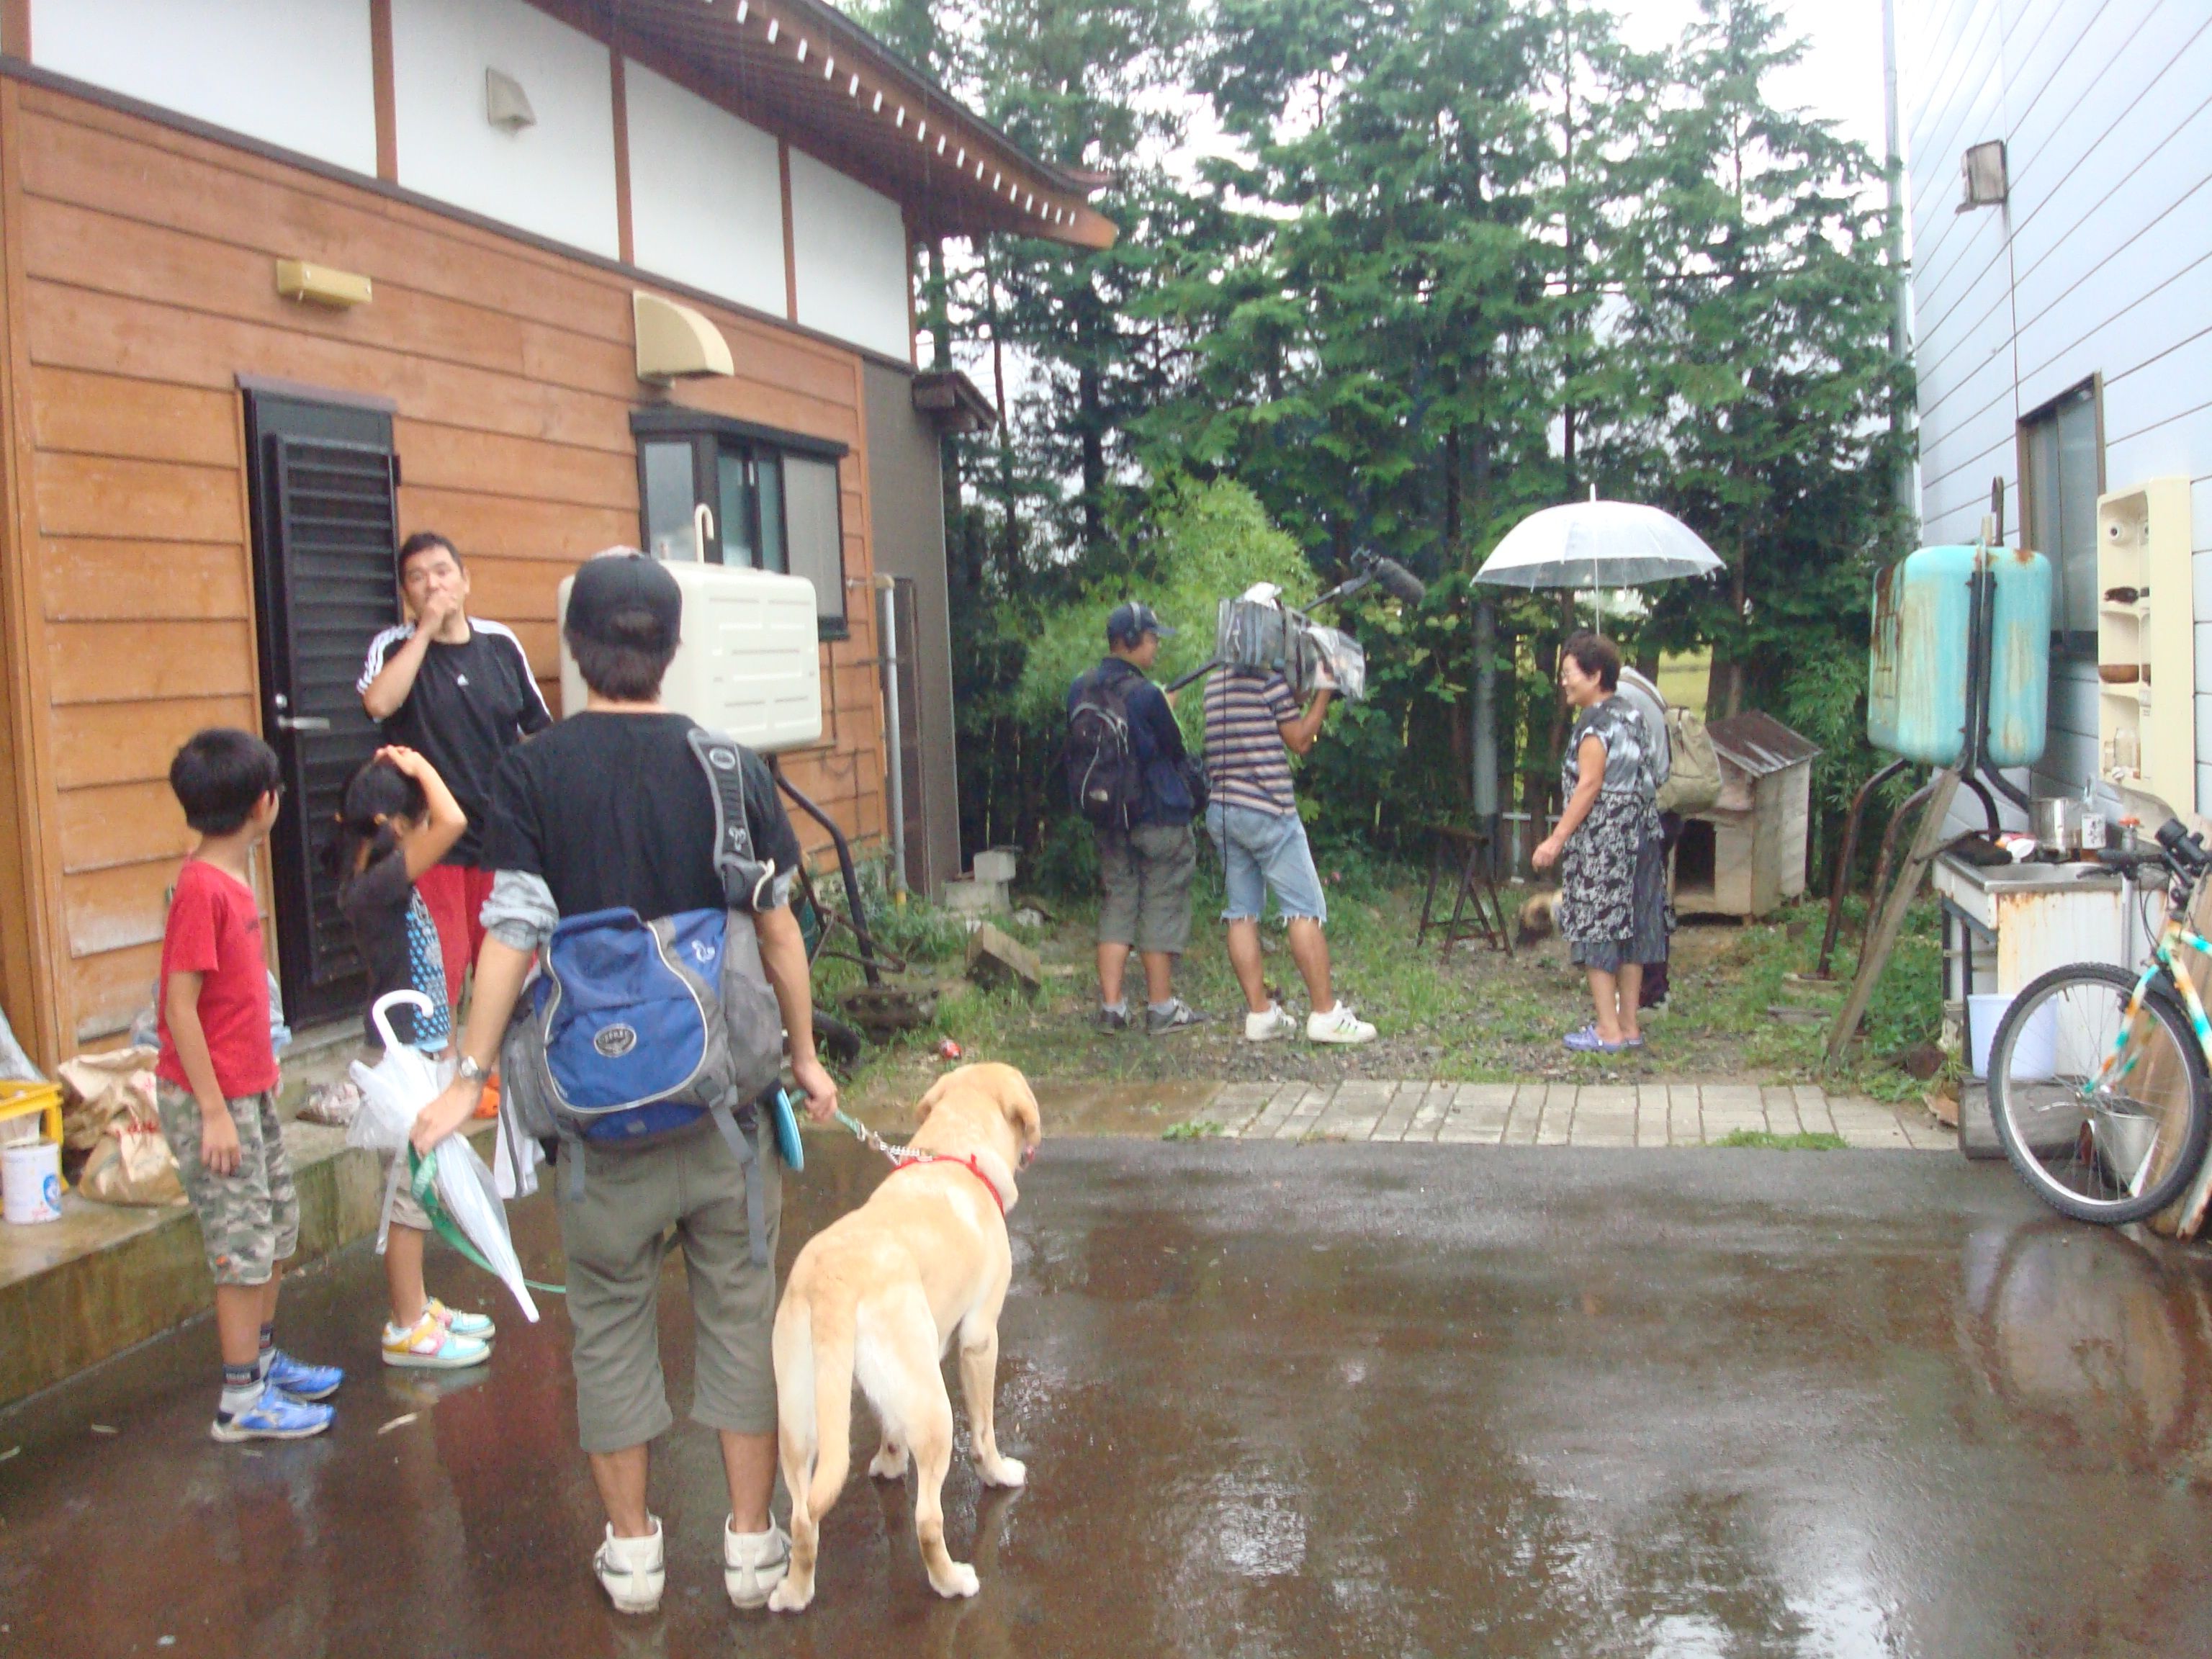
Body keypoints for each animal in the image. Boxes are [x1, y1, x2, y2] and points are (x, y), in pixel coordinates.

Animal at [770, 1066, 1043, 1610]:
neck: (955, 1151)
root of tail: (831, 1280)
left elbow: (889, 1426)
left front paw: (888, 1463)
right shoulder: (979, 1338)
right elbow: (985, 1431)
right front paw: (997, 1473)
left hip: (798, 1427)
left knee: (803, 1516)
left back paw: (794, 1592)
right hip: (937, 1413)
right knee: (927, 1521)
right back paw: (952, 1581)